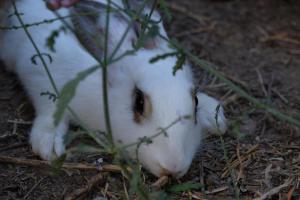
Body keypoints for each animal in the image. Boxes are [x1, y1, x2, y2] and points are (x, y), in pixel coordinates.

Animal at [0, 0, 225, 178]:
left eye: (195, 102)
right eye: (139, 102)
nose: (173, 166)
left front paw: (215, 115)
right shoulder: (40, 76)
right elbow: (52, 111)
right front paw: (49, 145)